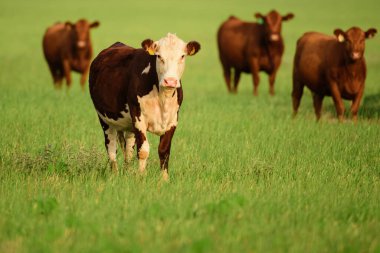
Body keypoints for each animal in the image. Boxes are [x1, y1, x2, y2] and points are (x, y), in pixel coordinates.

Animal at [89, 33, 202, 180]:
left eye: (182, 56)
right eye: (159, 56)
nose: (170, 81)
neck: (163, 98)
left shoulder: (173, 120)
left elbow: (164, 150)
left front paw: (164, 179)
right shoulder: (138, 118)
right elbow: (143, 151)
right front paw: (141, 177)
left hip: (129, 126)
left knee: (128, 150)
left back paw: (127, 172)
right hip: (105, 119)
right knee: (111, 148)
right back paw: (115, 174)